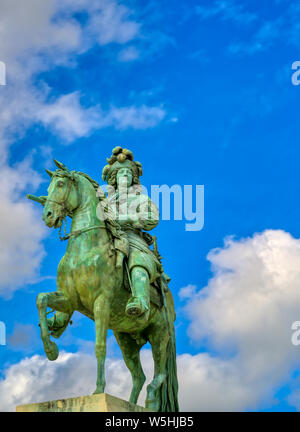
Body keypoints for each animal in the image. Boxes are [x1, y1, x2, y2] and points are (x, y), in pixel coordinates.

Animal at [27, 159, 178, 412]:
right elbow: (41, 299)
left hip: (159, 333)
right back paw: (131, 404)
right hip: (125, 338)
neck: (85, 249)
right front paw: (51, 349)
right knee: (139, 376)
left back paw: (151, 401)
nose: (47, 215)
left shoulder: (102, 303)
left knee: (160, 373)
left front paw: (98, 390)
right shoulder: (69, 302)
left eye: (60, 184)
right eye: (48, 187)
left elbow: (99, 347)